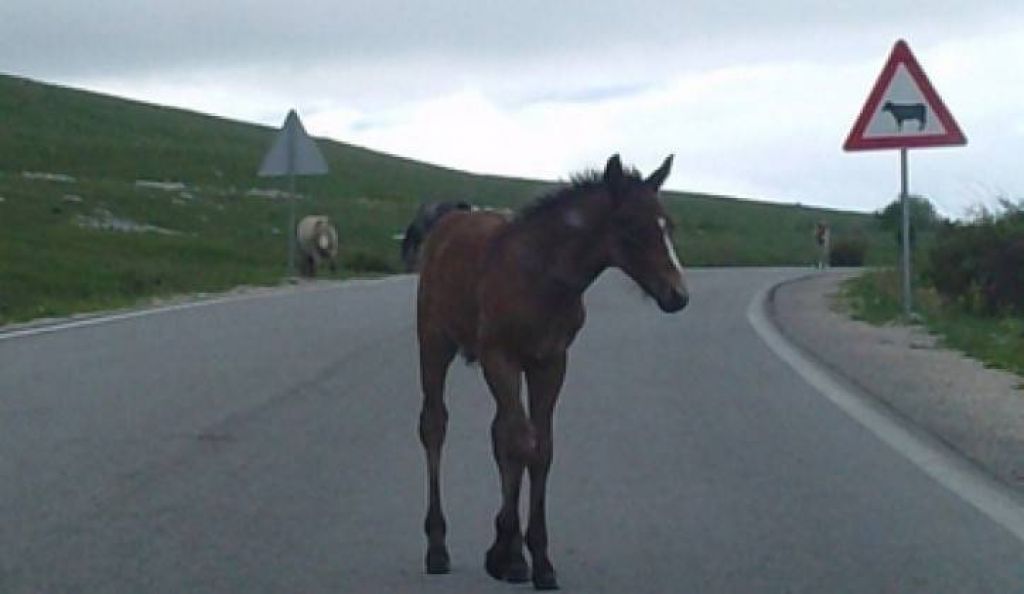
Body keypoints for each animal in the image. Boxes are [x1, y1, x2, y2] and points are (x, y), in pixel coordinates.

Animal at [413, 154, 688, 589]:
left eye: (669, 225)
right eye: (630, 225)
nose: (677, 295)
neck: (543, 279)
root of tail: (445, 221)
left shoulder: (551, 360)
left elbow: (539, 448)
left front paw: (534, 558)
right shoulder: (501, 356)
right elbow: (522, 443)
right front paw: (505, 553)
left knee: (499, 434)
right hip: (434, 342)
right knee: (435, 424)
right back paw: (437, 547)